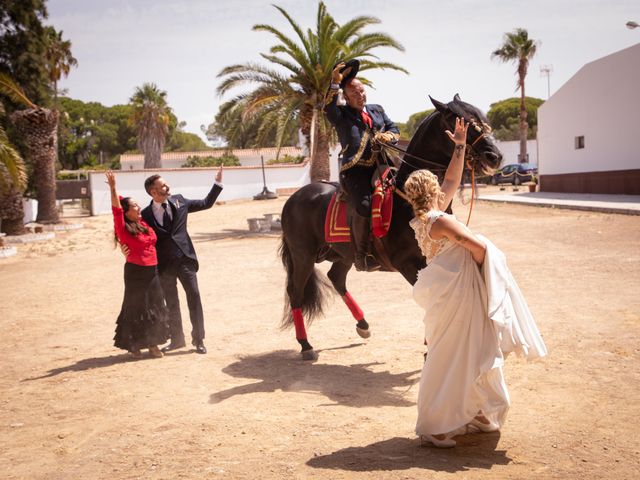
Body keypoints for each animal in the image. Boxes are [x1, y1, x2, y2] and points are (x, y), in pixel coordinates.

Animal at [280, 94, 504, 360]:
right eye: (464, 123)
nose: (495, 156)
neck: (409, 200)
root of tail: (295, 197)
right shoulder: (406, 264)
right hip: (303, 256)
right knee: (296, 292)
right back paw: (306, 345)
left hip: (342, 254)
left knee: (336, 278)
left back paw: (363, 324)